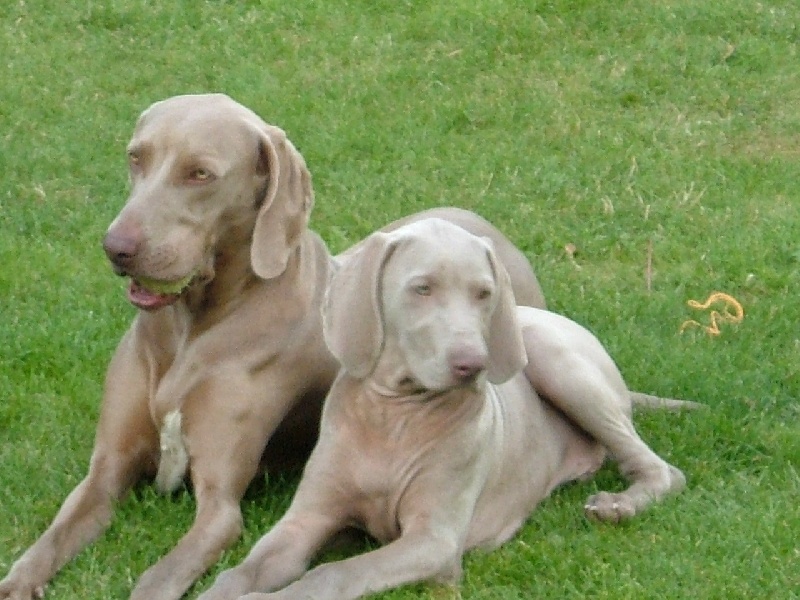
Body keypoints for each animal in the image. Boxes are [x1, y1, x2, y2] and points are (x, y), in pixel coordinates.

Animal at [0, 95, 547, 600]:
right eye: (136, 157)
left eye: (200, 174)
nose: (117, 248)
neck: (190, 328)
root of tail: (484, 227)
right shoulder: (105, 472)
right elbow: (49, 541)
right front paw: (19, 581)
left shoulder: (220, 508)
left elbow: (160, 578)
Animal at [196, 218, 692, 600]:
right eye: (422, 289)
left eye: (483, 293)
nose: (473, 364)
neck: (394, 416)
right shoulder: (306, 519)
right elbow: (241, 570)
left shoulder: (433, 541)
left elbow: (332, 574)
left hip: (549, 355)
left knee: (662, 470)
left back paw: (618, 506)